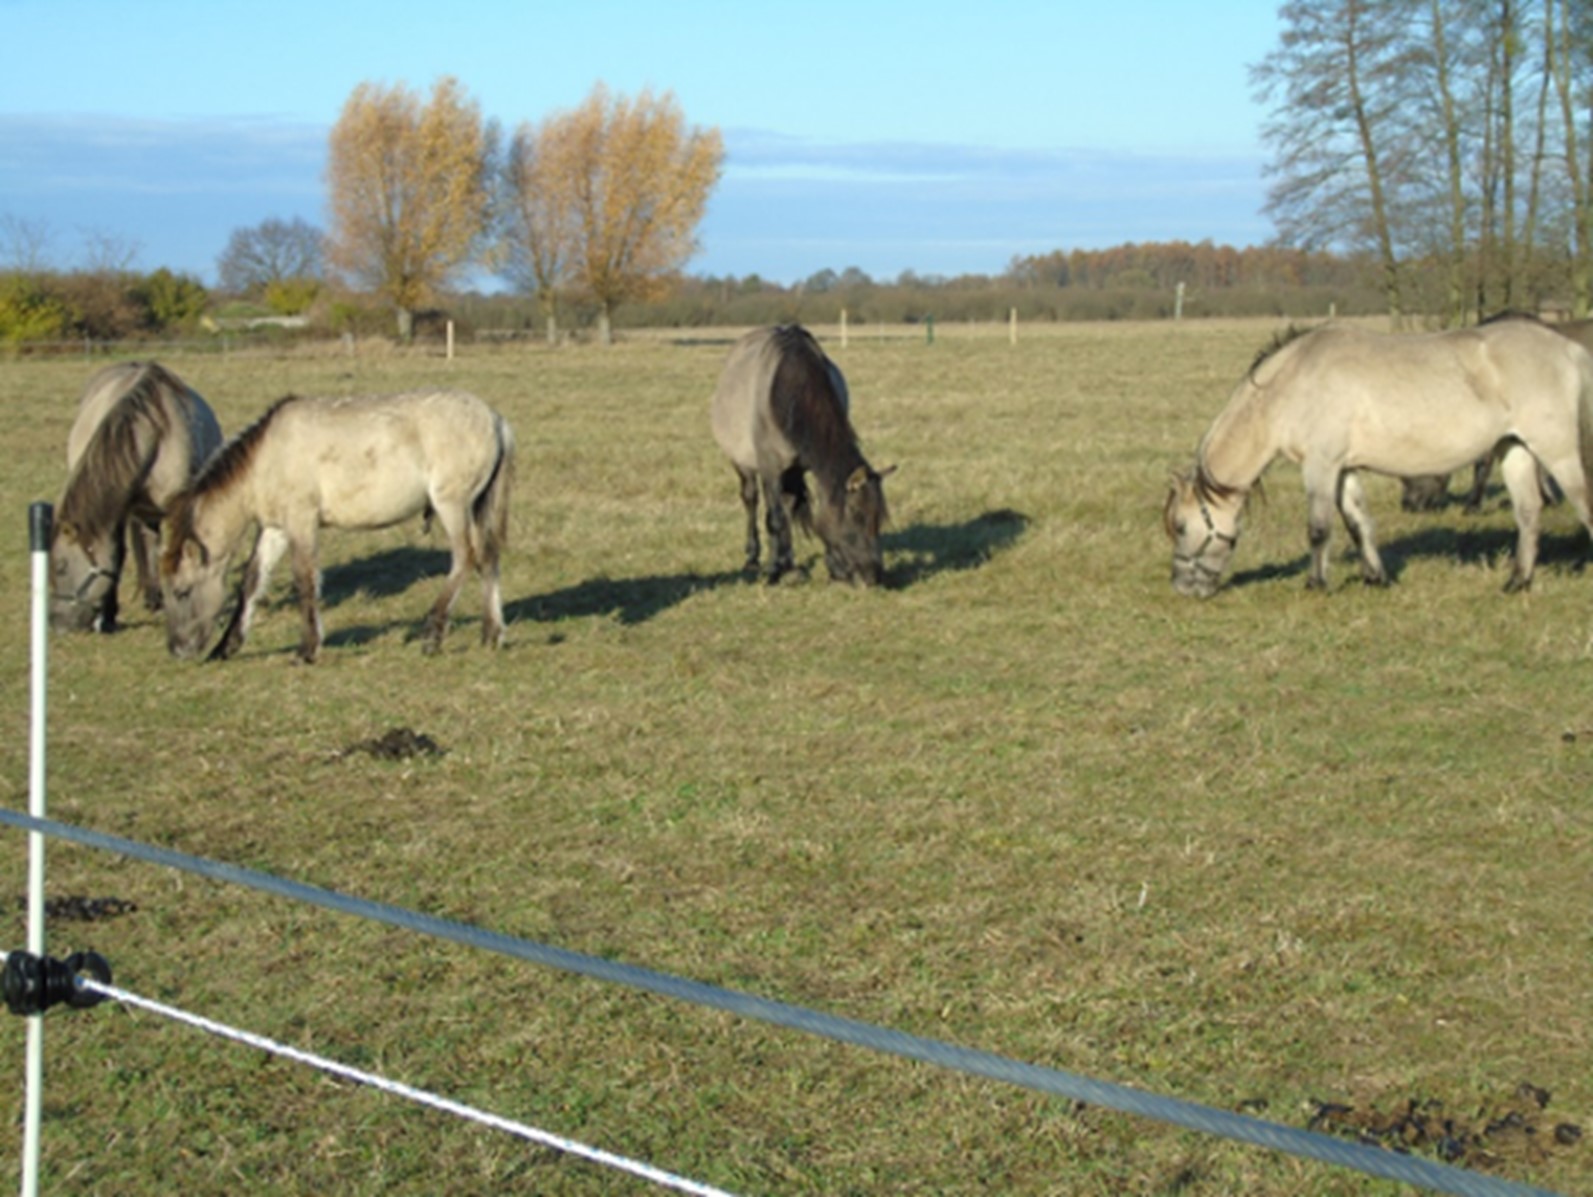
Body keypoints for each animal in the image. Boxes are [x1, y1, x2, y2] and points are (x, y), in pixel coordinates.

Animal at [50, 363, 221, 637]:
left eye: (61, 567)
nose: (57, 625)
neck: (154, 434)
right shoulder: (117, 513)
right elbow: (117, 555)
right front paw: (109, 616)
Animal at [160, 390, 512, 666]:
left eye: (182, 592)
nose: (177, 650)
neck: (267, 457)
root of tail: (496, 420)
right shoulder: (275, 528)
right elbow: (252, 582)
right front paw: (226, 646)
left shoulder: (301, 521)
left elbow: (304, 579)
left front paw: (307, 649)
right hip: (475, 507)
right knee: (488, 560)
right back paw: (491, 634)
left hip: (452, 505)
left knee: (465, 558)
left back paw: (433, 635)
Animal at [713, 323, 898, 586]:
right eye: (856, 515)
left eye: (878, 519)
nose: (872, 576)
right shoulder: (770, 469)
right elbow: (774, 519)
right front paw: (773, 570)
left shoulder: (804, 467)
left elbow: (796, 510)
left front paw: (823, 568)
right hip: (744, 464)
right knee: (751, 499)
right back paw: (753, 558)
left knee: (787, 504)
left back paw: (788, 562)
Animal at [1166, 318, 1593, 599]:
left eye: (1182, 527)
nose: (1183, 587)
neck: (1293, 382)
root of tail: (1569, 349)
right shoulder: (1345, 469)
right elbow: (1359, 524)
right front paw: (1376, 578)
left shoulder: (1321, 466)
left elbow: (1319, 528)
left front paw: (1316, 584)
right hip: (1514, 449)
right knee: (1528, 513)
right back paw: (1517, 582)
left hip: (1557, 451)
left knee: (1582, 503)